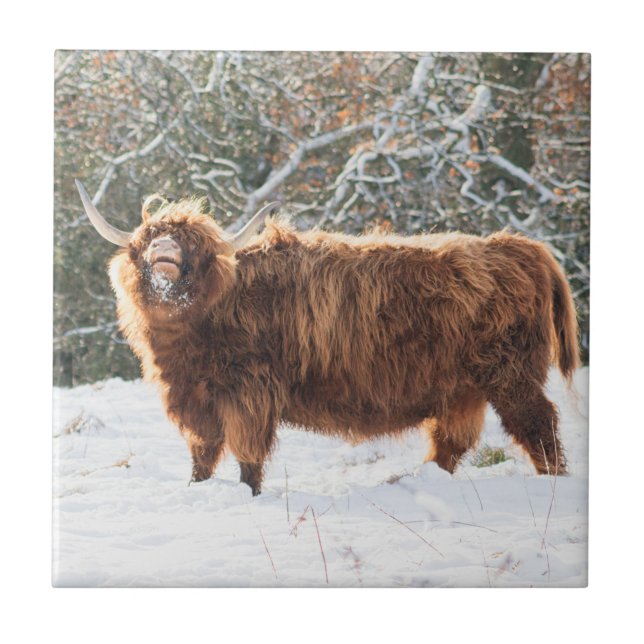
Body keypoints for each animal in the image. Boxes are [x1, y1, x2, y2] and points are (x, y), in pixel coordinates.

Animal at [76, 180, 579, 495]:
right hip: (461, 390)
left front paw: (249, 495)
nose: (164, 254)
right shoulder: (196, 398)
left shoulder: (248, 395)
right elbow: (203, 454)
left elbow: (247, 455)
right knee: (450, 443)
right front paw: (196, 490)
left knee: (539, 427)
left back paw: (553, 484)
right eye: (146, 240)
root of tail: (519, 246)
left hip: (511, 377)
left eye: (194, 246)